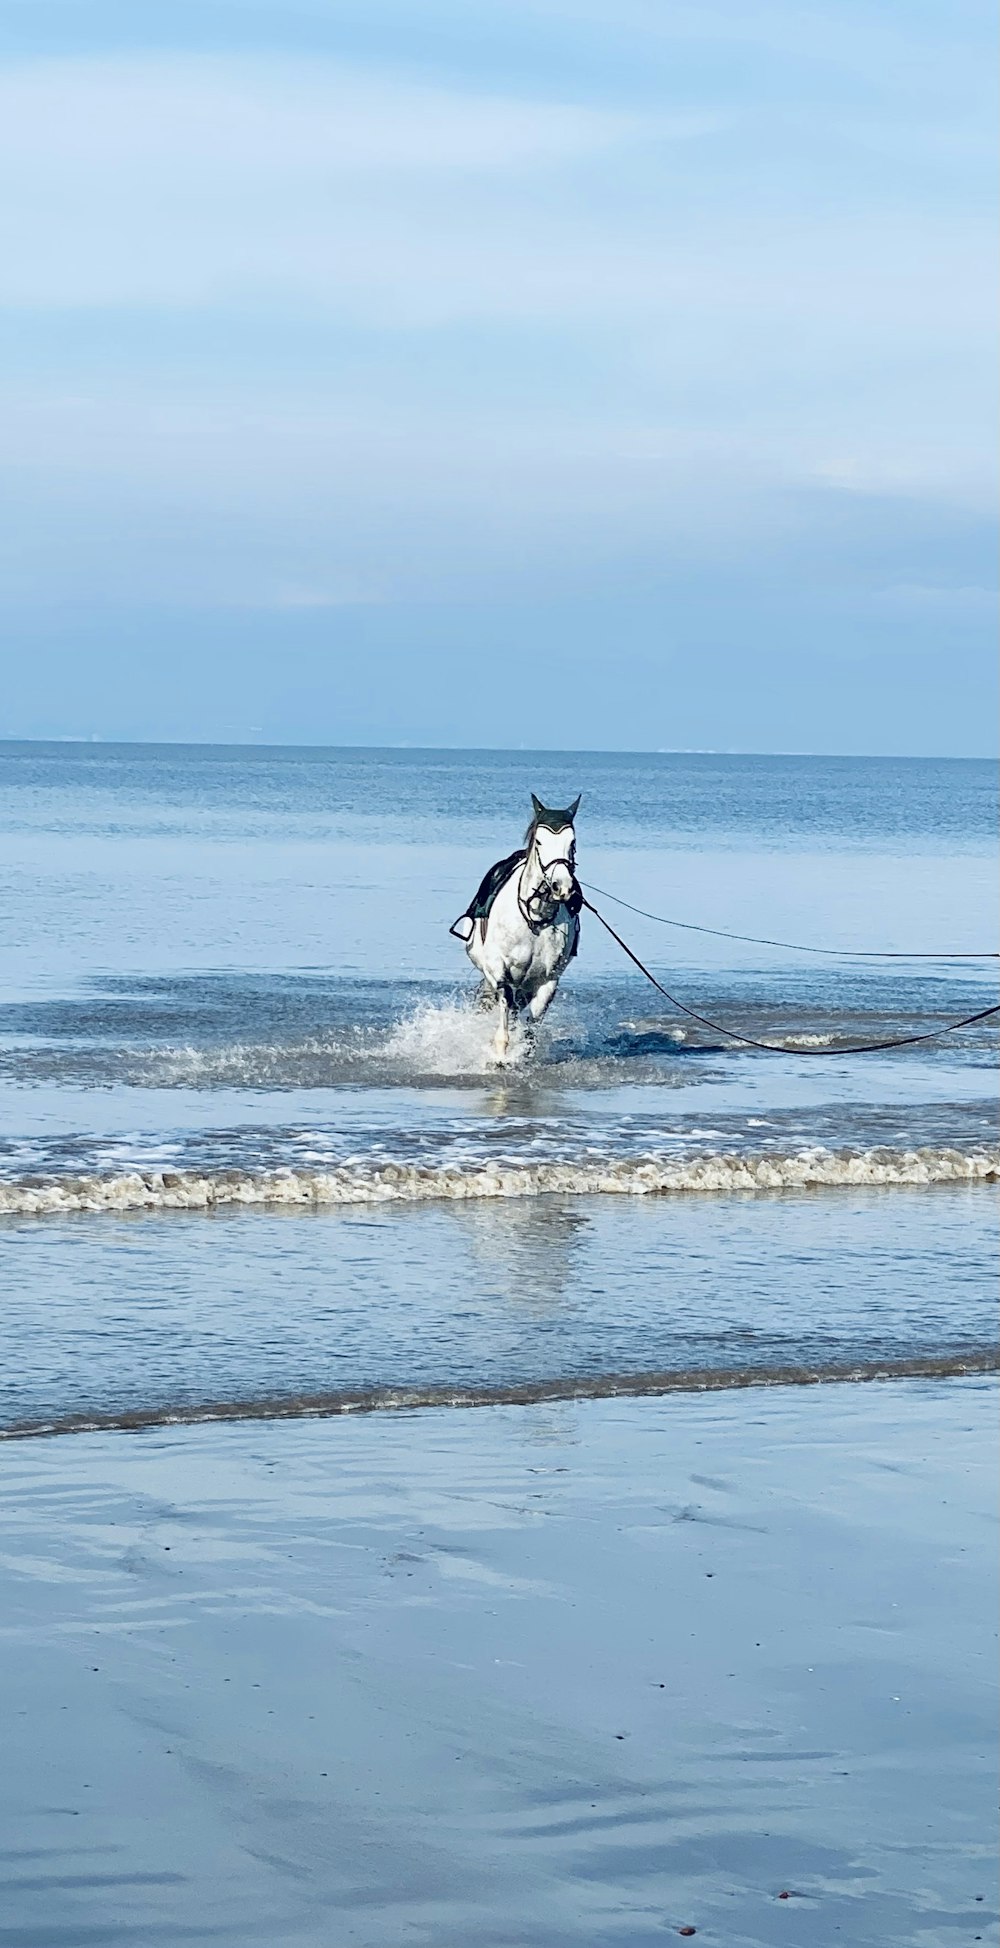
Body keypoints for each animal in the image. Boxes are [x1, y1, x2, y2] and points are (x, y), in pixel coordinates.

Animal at [448, 790, 580, 1067]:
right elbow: (504, 1005)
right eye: (539, 842)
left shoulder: (548, 980)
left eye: (572, 843)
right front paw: (500, 1055)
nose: (561, 887)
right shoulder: (500, 970)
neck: (534, 918)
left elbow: (532, 1023)